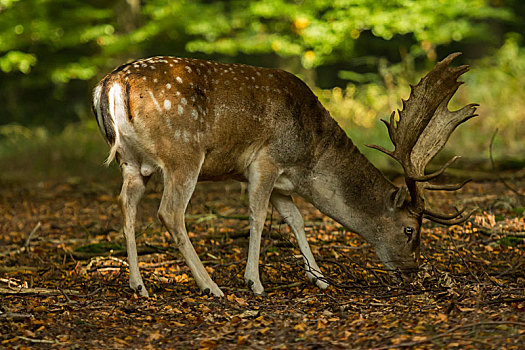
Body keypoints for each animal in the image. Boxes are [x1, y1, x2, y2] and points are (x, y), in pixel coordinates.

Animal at [92, 52, 476, 296]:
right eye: (410, 228)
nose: (411, 271)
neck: (308, 158)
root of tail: (110, 83)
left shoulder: (282, 182)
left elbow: (296, 220)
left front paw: (320, 279)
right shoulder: (266, 161)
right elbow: (259, 216)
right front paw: (254, 282)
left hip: (131, 162)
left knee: (125, 204)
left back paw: (139, 286)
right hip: (183, 154)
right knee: (170, 212)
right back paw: (211, 287)